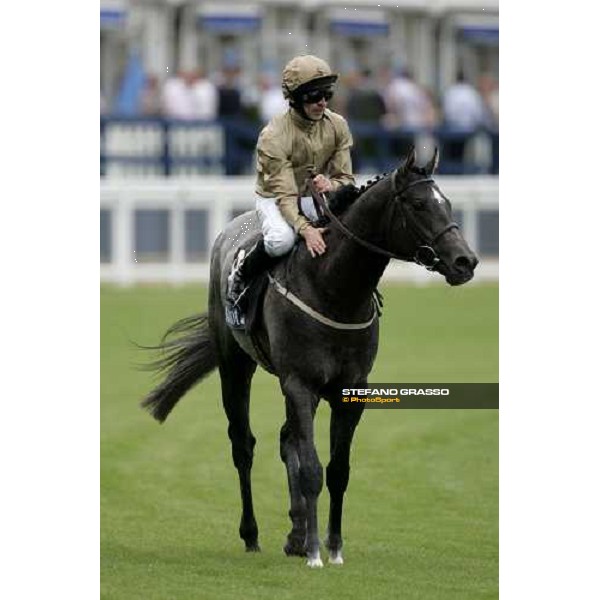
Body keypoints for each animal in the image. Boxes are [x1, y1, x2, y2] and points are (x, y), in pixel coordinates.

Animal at [141, 145, 478, 568]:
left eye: (446, 202)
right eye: (418, 204)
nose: (466, 262)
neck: (334, 288)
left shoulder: (349, 391)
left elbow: (336, 470)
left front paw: (332, 547)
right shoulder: (299, 383)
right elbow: (313, 469)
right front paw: (317, 553)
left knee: (288, 441)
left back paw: (297, 534)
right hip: (236, 365)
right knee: (243, 445)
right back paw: (253, 535)